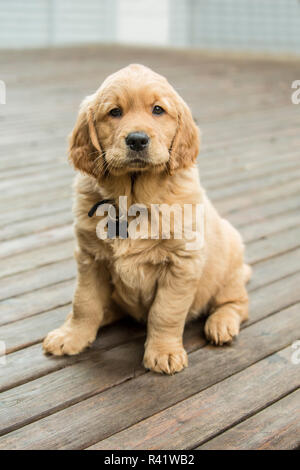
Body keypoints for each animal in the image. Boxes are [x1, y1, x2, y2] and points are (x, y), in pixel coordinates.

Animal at [42, 65, 251, 374]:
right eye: (115, 112)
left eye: (158, 110)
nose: (137, 139)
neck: (133, 200)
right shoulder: (91, 258)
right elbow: (84, 302)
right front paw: (72, 336)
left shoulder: (181, 263)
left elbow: (165, 313)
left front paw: (163, 352)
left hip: (230, 263)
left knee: (237, 303)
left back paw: (221, 324)